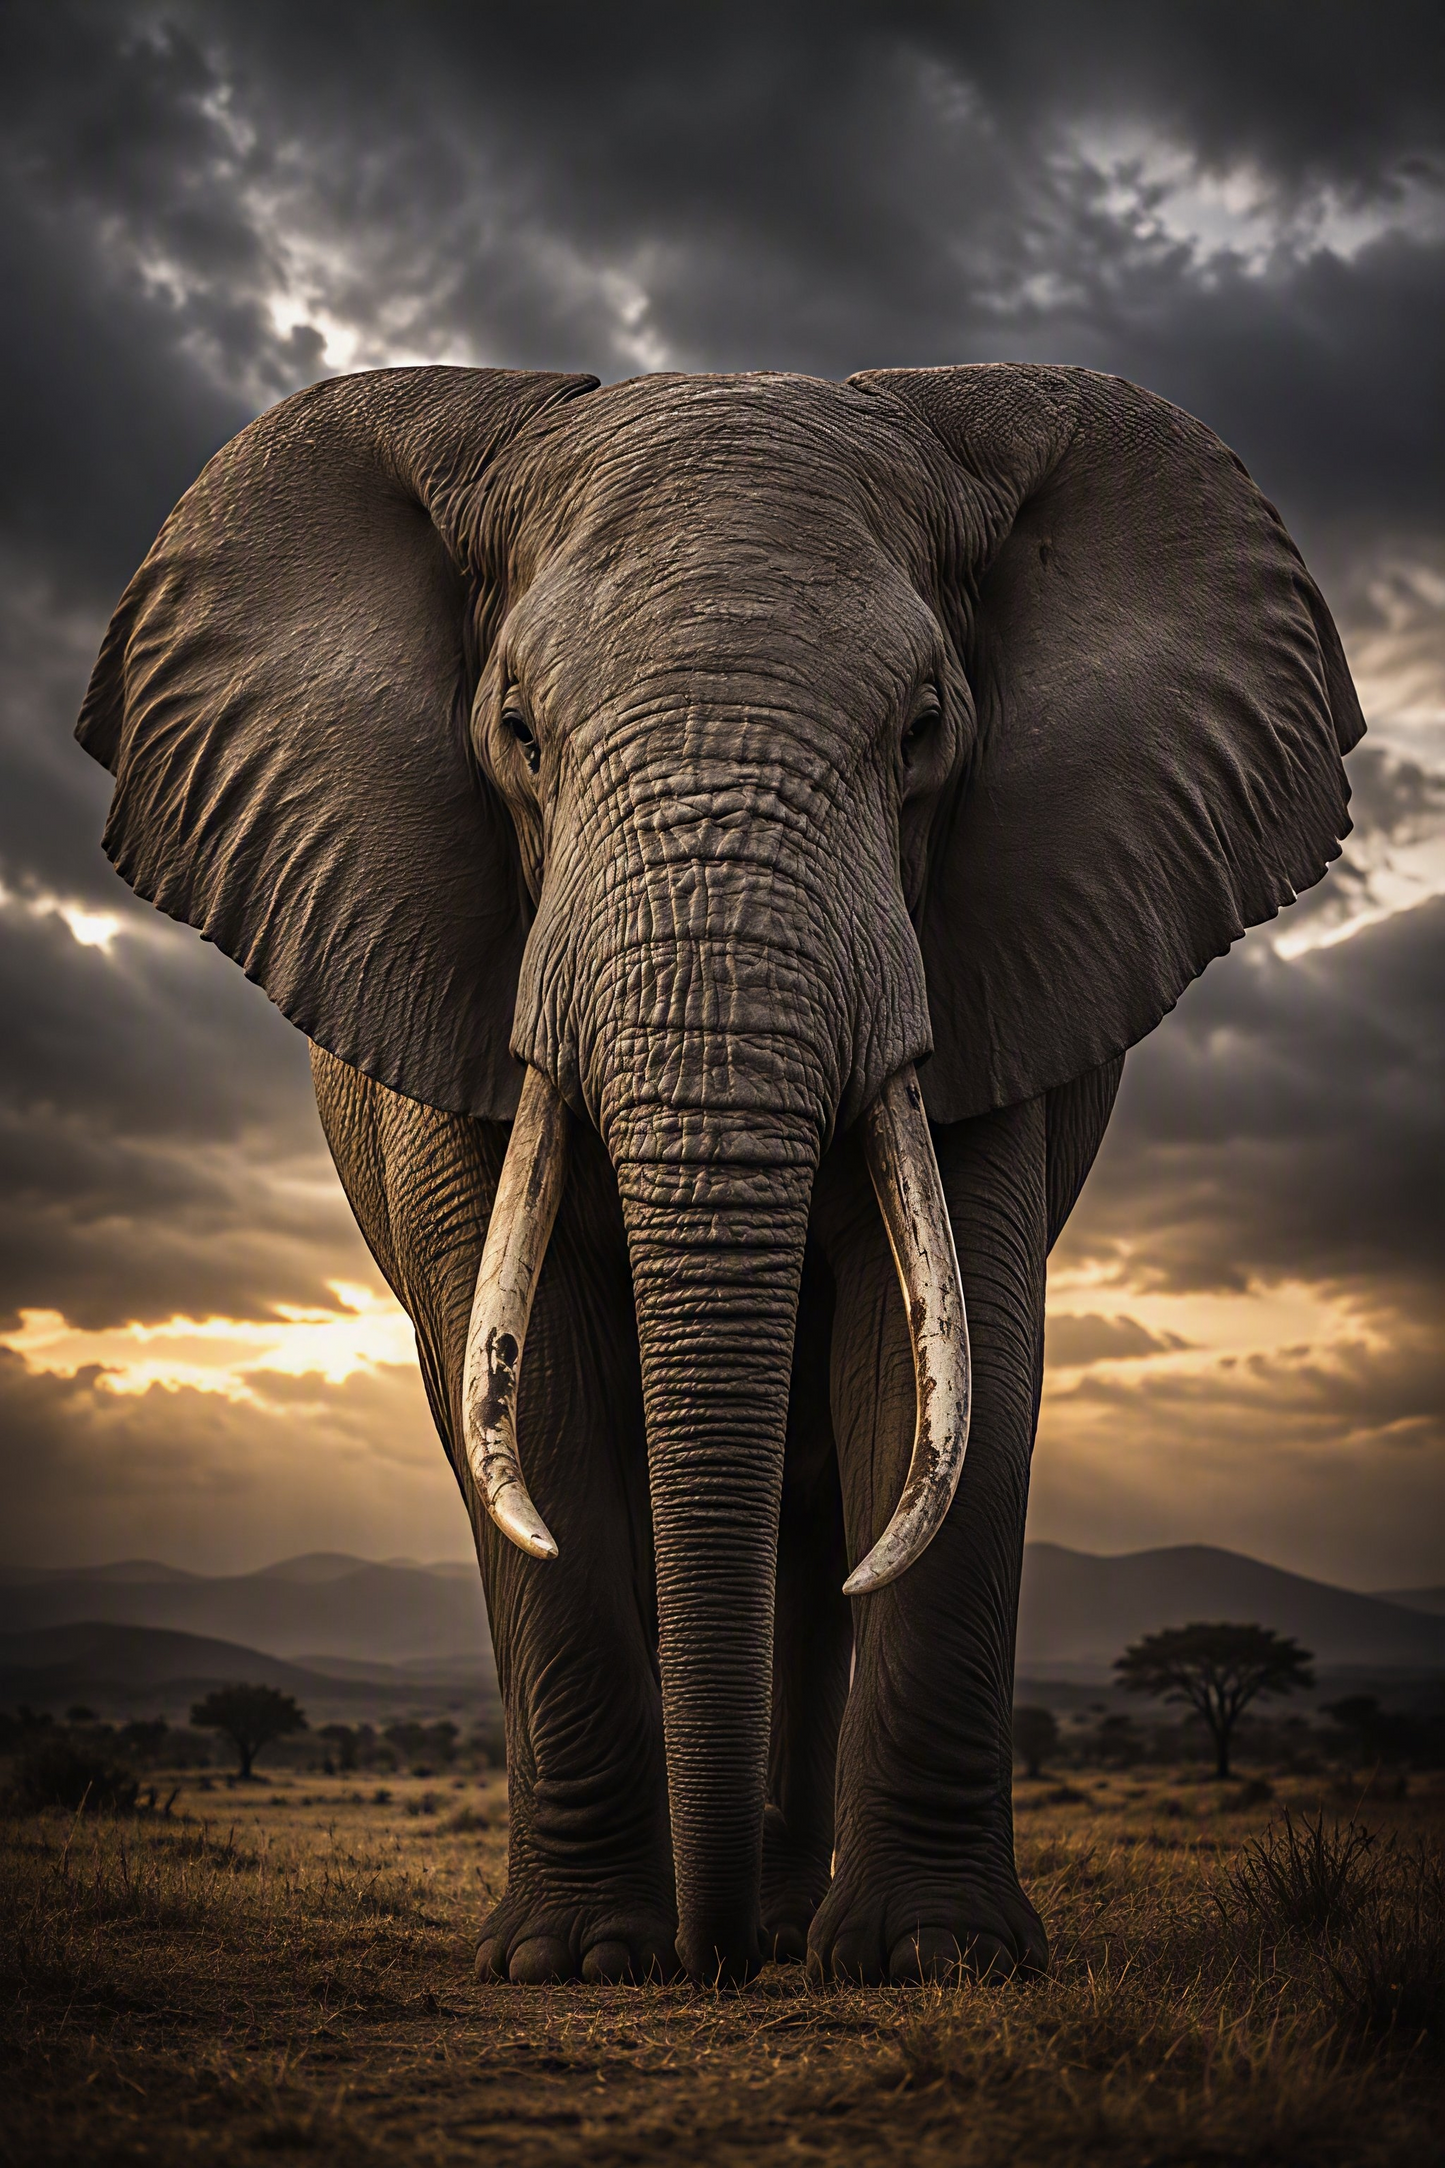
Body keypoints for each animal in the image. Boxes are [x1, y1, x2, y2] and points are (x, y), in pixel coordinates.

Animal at [77, 362, 1362, 1987]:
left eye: (924, 729)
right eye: (517, 730)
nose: (711, 1953)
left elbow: (953, 1372)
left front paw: (932, 1959)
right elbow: (540, 1409)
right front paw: (576, 1963)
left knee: (817, 1531)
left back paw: (789, 1917)